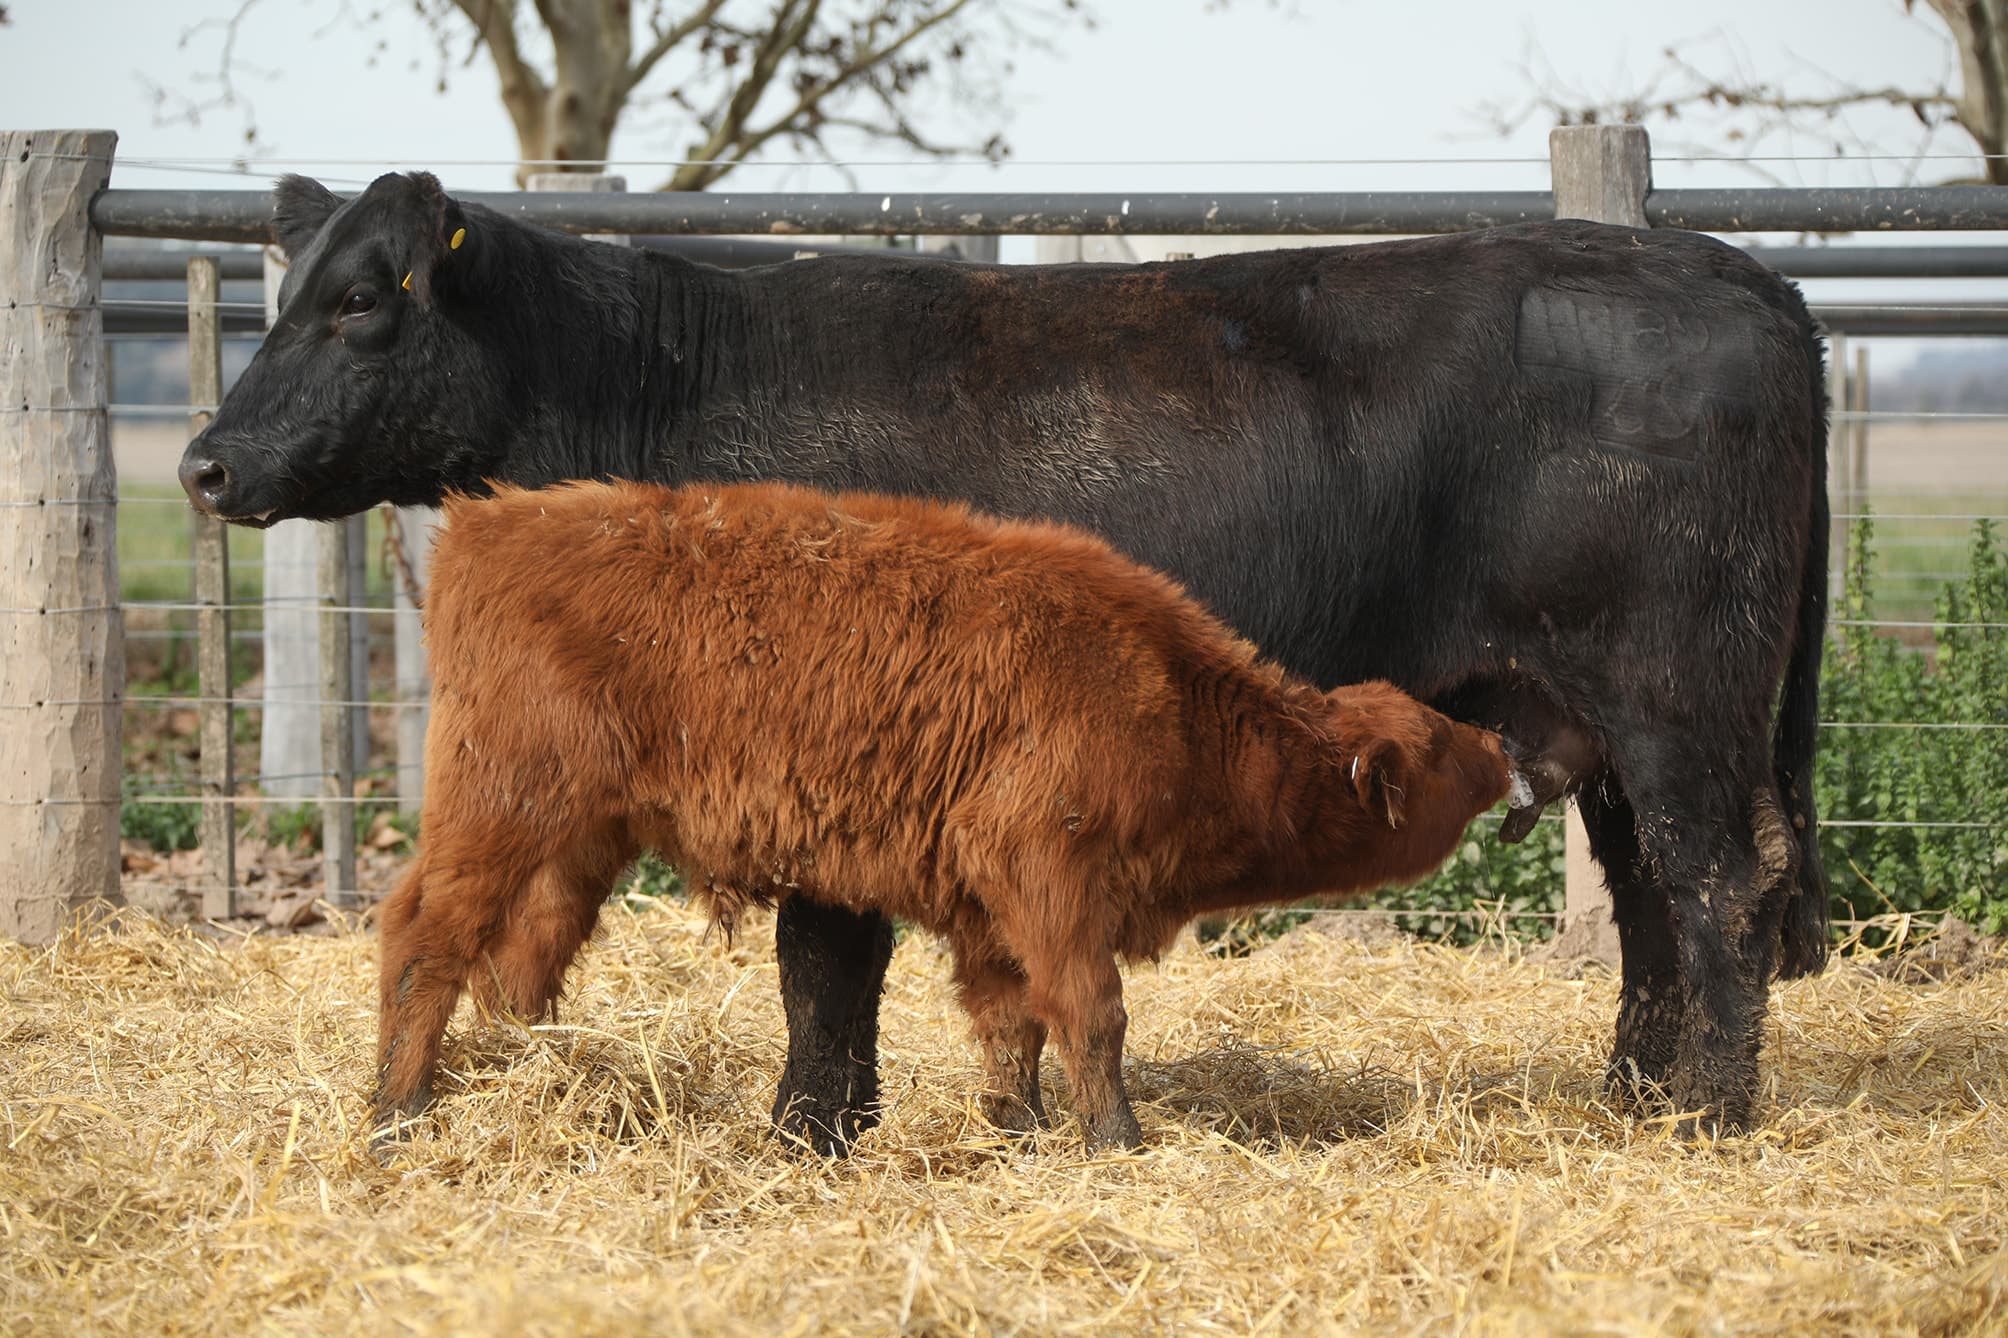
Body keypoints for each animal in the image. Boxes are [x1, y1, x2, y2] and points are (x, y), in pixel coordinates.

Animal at [378, 478, 1515, 1150]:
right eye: (1438, 748)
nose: (1505, 752)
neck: (1171, 699)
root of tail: (490, 521)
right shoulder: (1050, 875)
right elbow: (1092, 1015)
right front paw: (1116, 1140)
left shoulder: (990, 914)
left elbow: (1012, 1026)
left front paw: (1017, 1131)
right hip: (505, 810)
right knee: (424, 935)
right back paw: (398, 1108)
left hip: (571, 843)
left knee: (503, 954)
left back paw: (509, 1076)